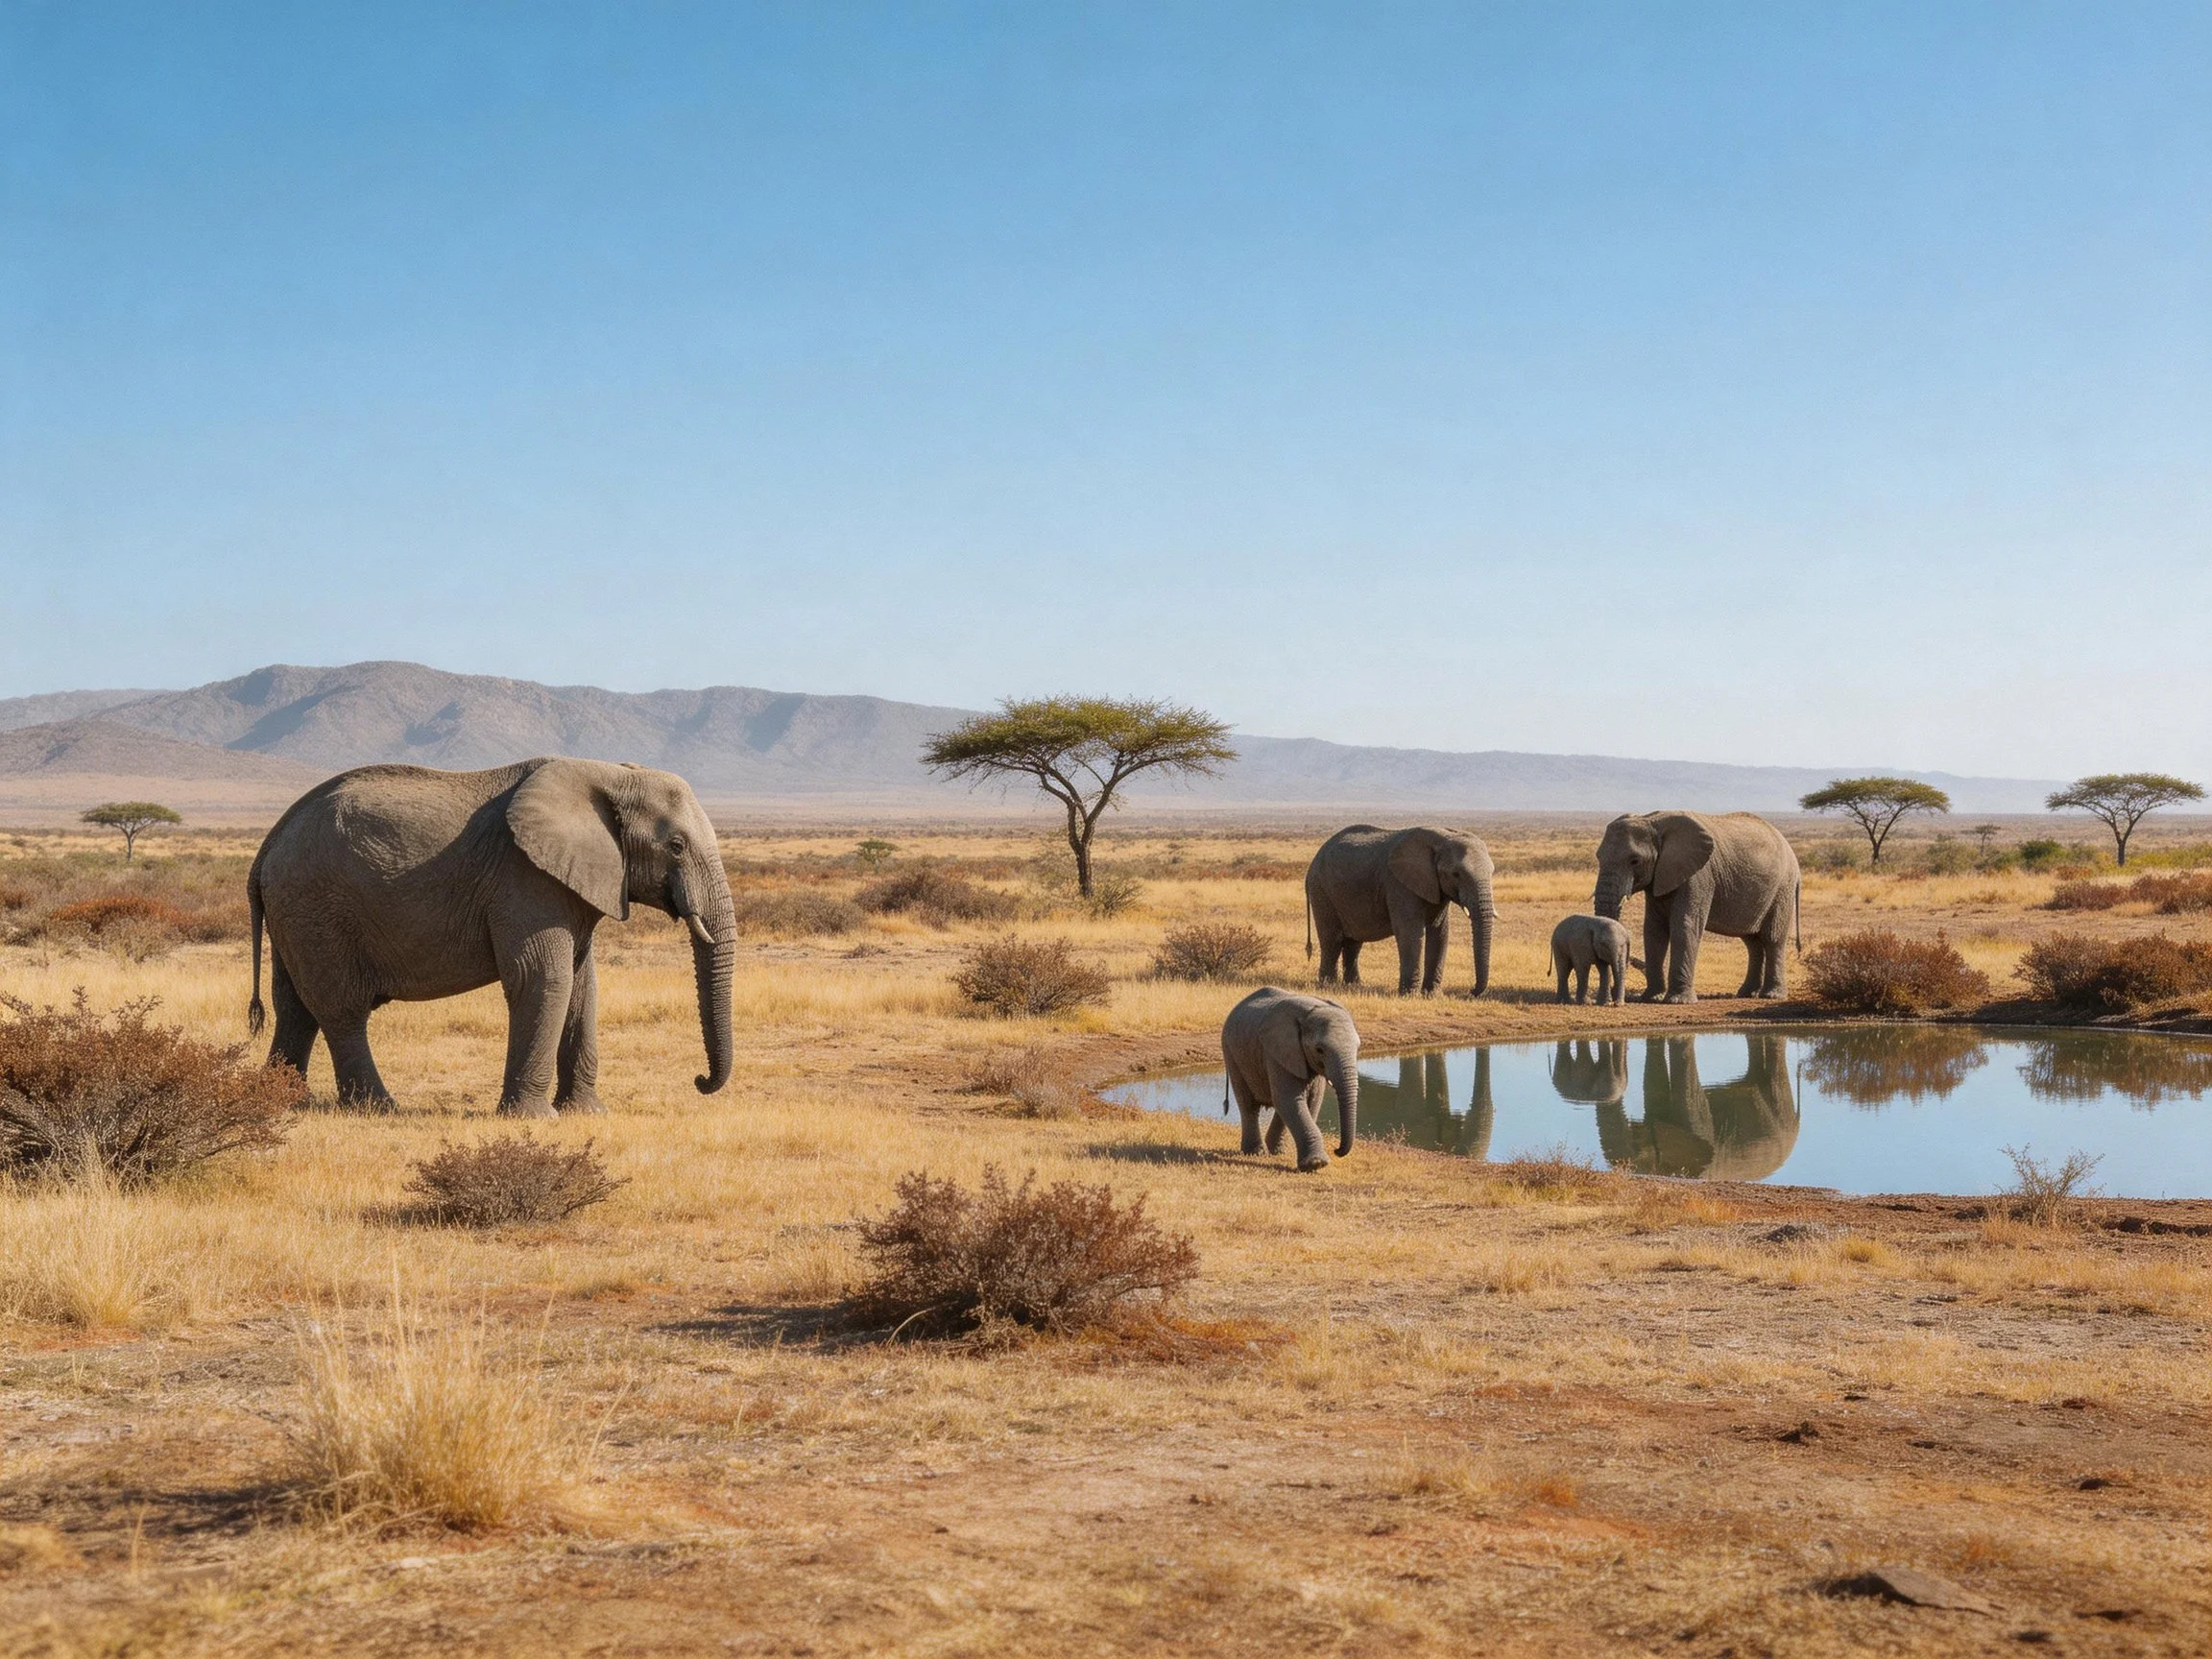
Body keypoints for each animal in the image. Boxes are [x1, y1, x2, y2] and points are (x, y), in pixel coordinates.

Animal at [246, 757, 736, 1115]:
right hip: (315, 906)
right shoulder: (525, 878)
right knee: (341, 1010)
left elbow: (582, 987)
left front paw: (588, 1114)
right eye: (676, 846)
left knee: (295, 1007)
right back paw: (380, 1109)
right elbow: (543, 979)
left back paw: (284, 1102)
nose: (699, 1081)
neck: (609, 774)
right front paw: (533, 1119)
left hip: (297, 912)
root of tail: (268, 844)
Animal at [1219, 987, 1361, 1171]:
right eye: (1320, 1050)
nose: (1336, 1150)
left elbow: (1311, 1101)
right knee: (1248, 1105)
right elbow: (1289, 1099)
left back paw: (1276, 1152)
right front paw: (1316, 1164)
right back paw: (1255, 1153)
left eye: (1358, 1047)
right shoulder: (1277, 1052)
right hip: (1231, 1052)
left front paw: (1313, 1163)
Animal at [1304, 825, 1495, 996]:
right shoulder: (1399, 885)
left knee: (1354, 941)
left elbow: (1440, 933)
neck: (1442, 837)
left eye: (1492, 872)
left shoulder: (1436, 887)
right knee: (1332, 940)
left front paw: (1432, 995)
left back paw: (1353, 986)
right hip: (1321, 890)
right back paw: (1328, 986)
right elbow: (1410, 932)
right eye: (1456, 874)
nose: (1471, 991)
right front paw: (1410, 996)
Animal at [1592, 812, 1800, 1002]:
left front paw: (1678, 1001)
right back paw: (1747, 994)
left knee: (1772, 938)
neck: (1652, 821)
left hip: (1783, 888)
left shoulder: (1699, 875)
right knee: (1752, 942)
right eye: (1598, 857)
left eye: (1634, 861)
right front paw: (1651, 998)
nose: (1613, 993)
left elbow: (1685, 924)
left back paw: (1771, 996)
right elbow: (1653, 930)